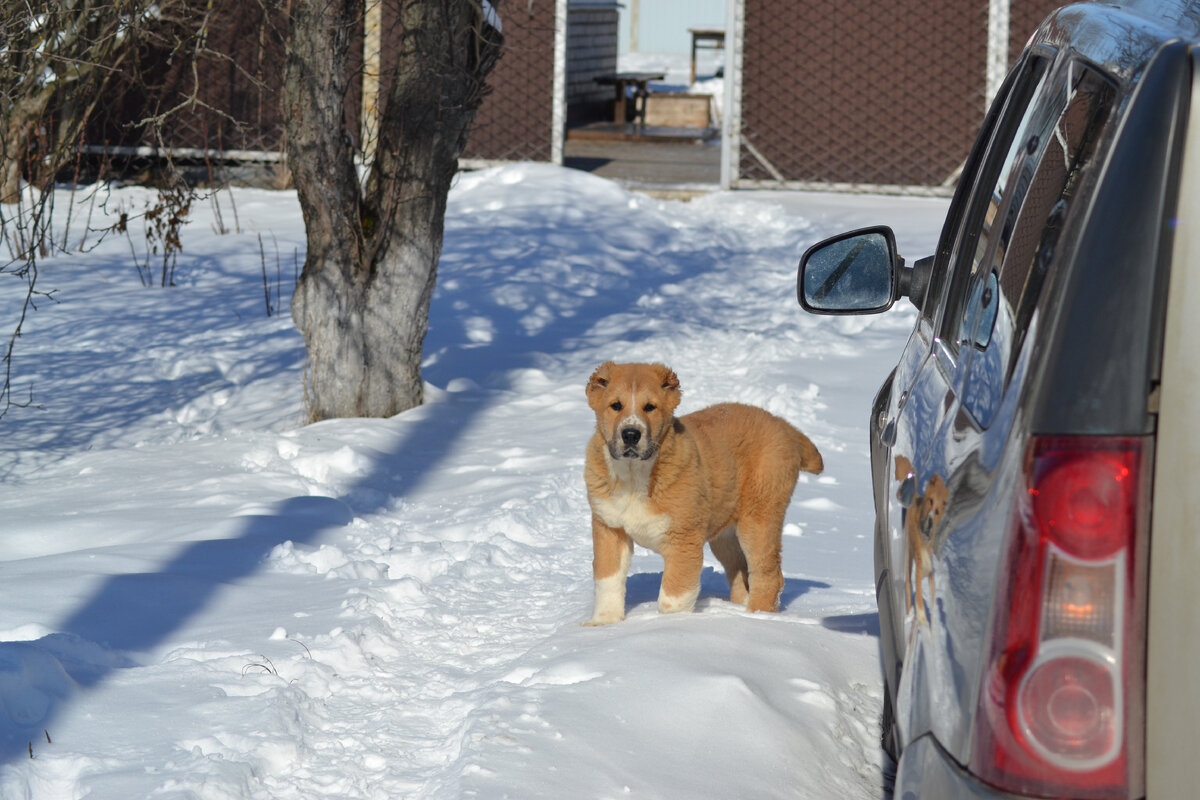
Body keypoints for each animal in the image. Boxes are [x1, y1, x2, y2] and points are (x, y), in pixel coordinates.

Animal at [580, 362, 825, 623]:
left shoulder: (683, 540)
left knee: (768, 573)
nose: (630, 434)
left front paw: (669, 624)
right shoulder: (609, 528)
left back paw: (757, 616)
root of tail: (782, 424)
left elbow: (672, 597)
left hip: (759, 518)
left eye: (650, 407)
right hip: (725, 537)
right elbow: (607, 580)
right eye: (615, 405)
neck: (634, 475)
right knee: (740, 572)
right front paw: (604, 623)